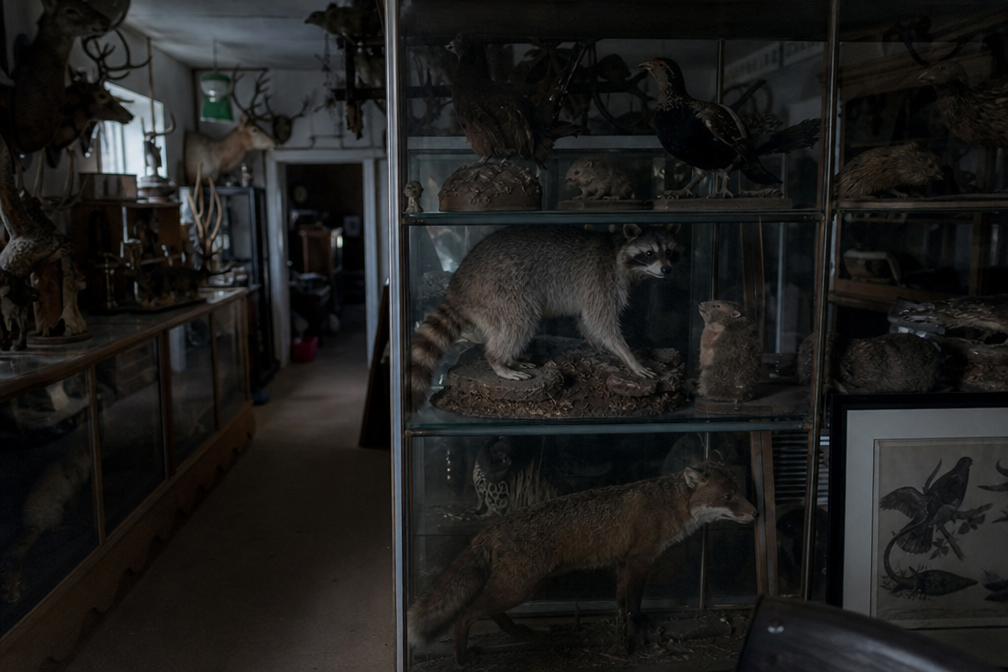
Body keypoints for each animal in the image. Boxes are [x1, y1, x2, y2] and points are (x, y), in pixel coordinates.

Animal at [409, 224, 682, 408]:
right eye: (649, 253)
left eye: (669, 251)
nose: (667, 270)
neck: (617, 250)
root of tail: (458, 285)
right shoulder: (602, 280)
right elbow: (601, 321)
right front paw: (629, 357)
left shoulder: (589, 289)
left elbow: (585, 319)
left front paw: (598, 346)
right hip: (500, 288)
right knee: (521, 320)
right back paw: (498, 360)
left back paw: (511, 358)